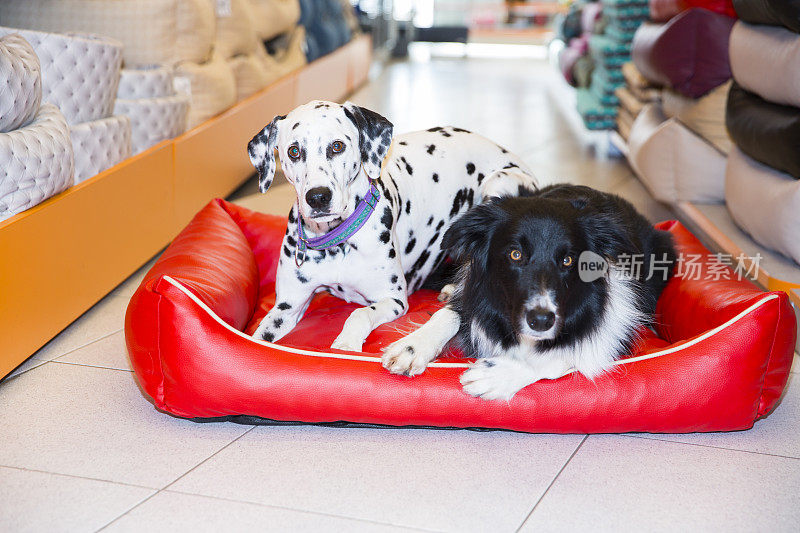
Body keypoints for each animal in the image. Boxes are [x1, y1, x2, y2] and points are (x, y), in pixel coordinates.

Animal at [247, 100, 540, 352]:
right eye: (294, 151)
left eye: (337, 146)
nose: (318, 197)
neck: (336, 242)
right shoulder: (287, 307)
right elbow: (260, 335)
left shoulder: (393, 299)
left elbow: (359, 313)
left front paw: (346, 343)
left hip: (498, 182)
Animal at [382, 183, 676, 400]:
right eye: (515, 254)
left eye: (568, 260)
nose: (541, 321)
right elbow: (448, 314)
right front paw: (412, 347)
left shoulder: (617, 333)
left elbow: (562, 357)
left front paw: (496, 376)